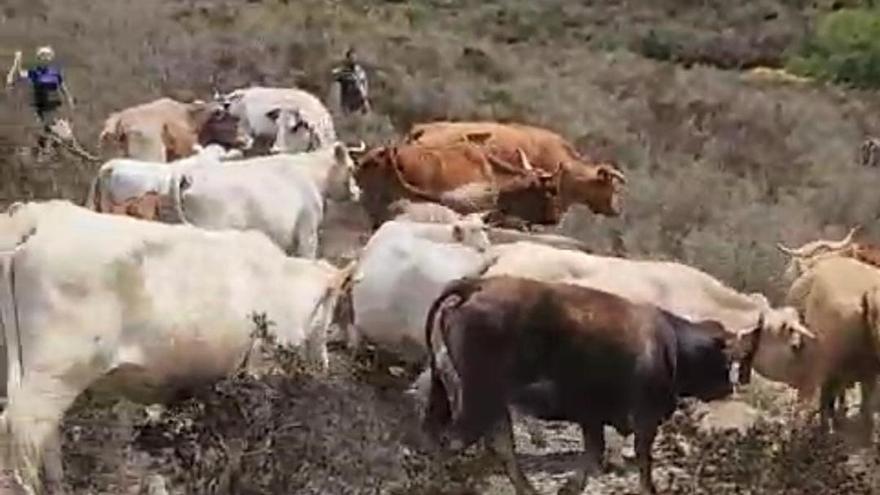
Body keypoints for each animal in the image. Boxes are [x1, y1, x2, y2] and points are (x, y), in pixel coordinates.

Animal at [0, 200, 354, 494]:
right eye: (333, 306)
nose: (324, 363)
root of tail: (42, 215)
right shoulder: (259, 373)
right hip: (56, 372)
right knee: (23, 432)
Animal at [422, 278, 740, 494]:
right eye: (724, 359)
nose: (729, 387)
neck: (666, 341)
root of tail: (478, 285)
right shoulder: (643, 418)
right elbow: (641, 461)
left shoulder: (592, 417)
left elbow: (593, 453)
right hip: (480, 398)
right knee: (454, 440)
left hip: (492, 402)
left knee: (498, 444)